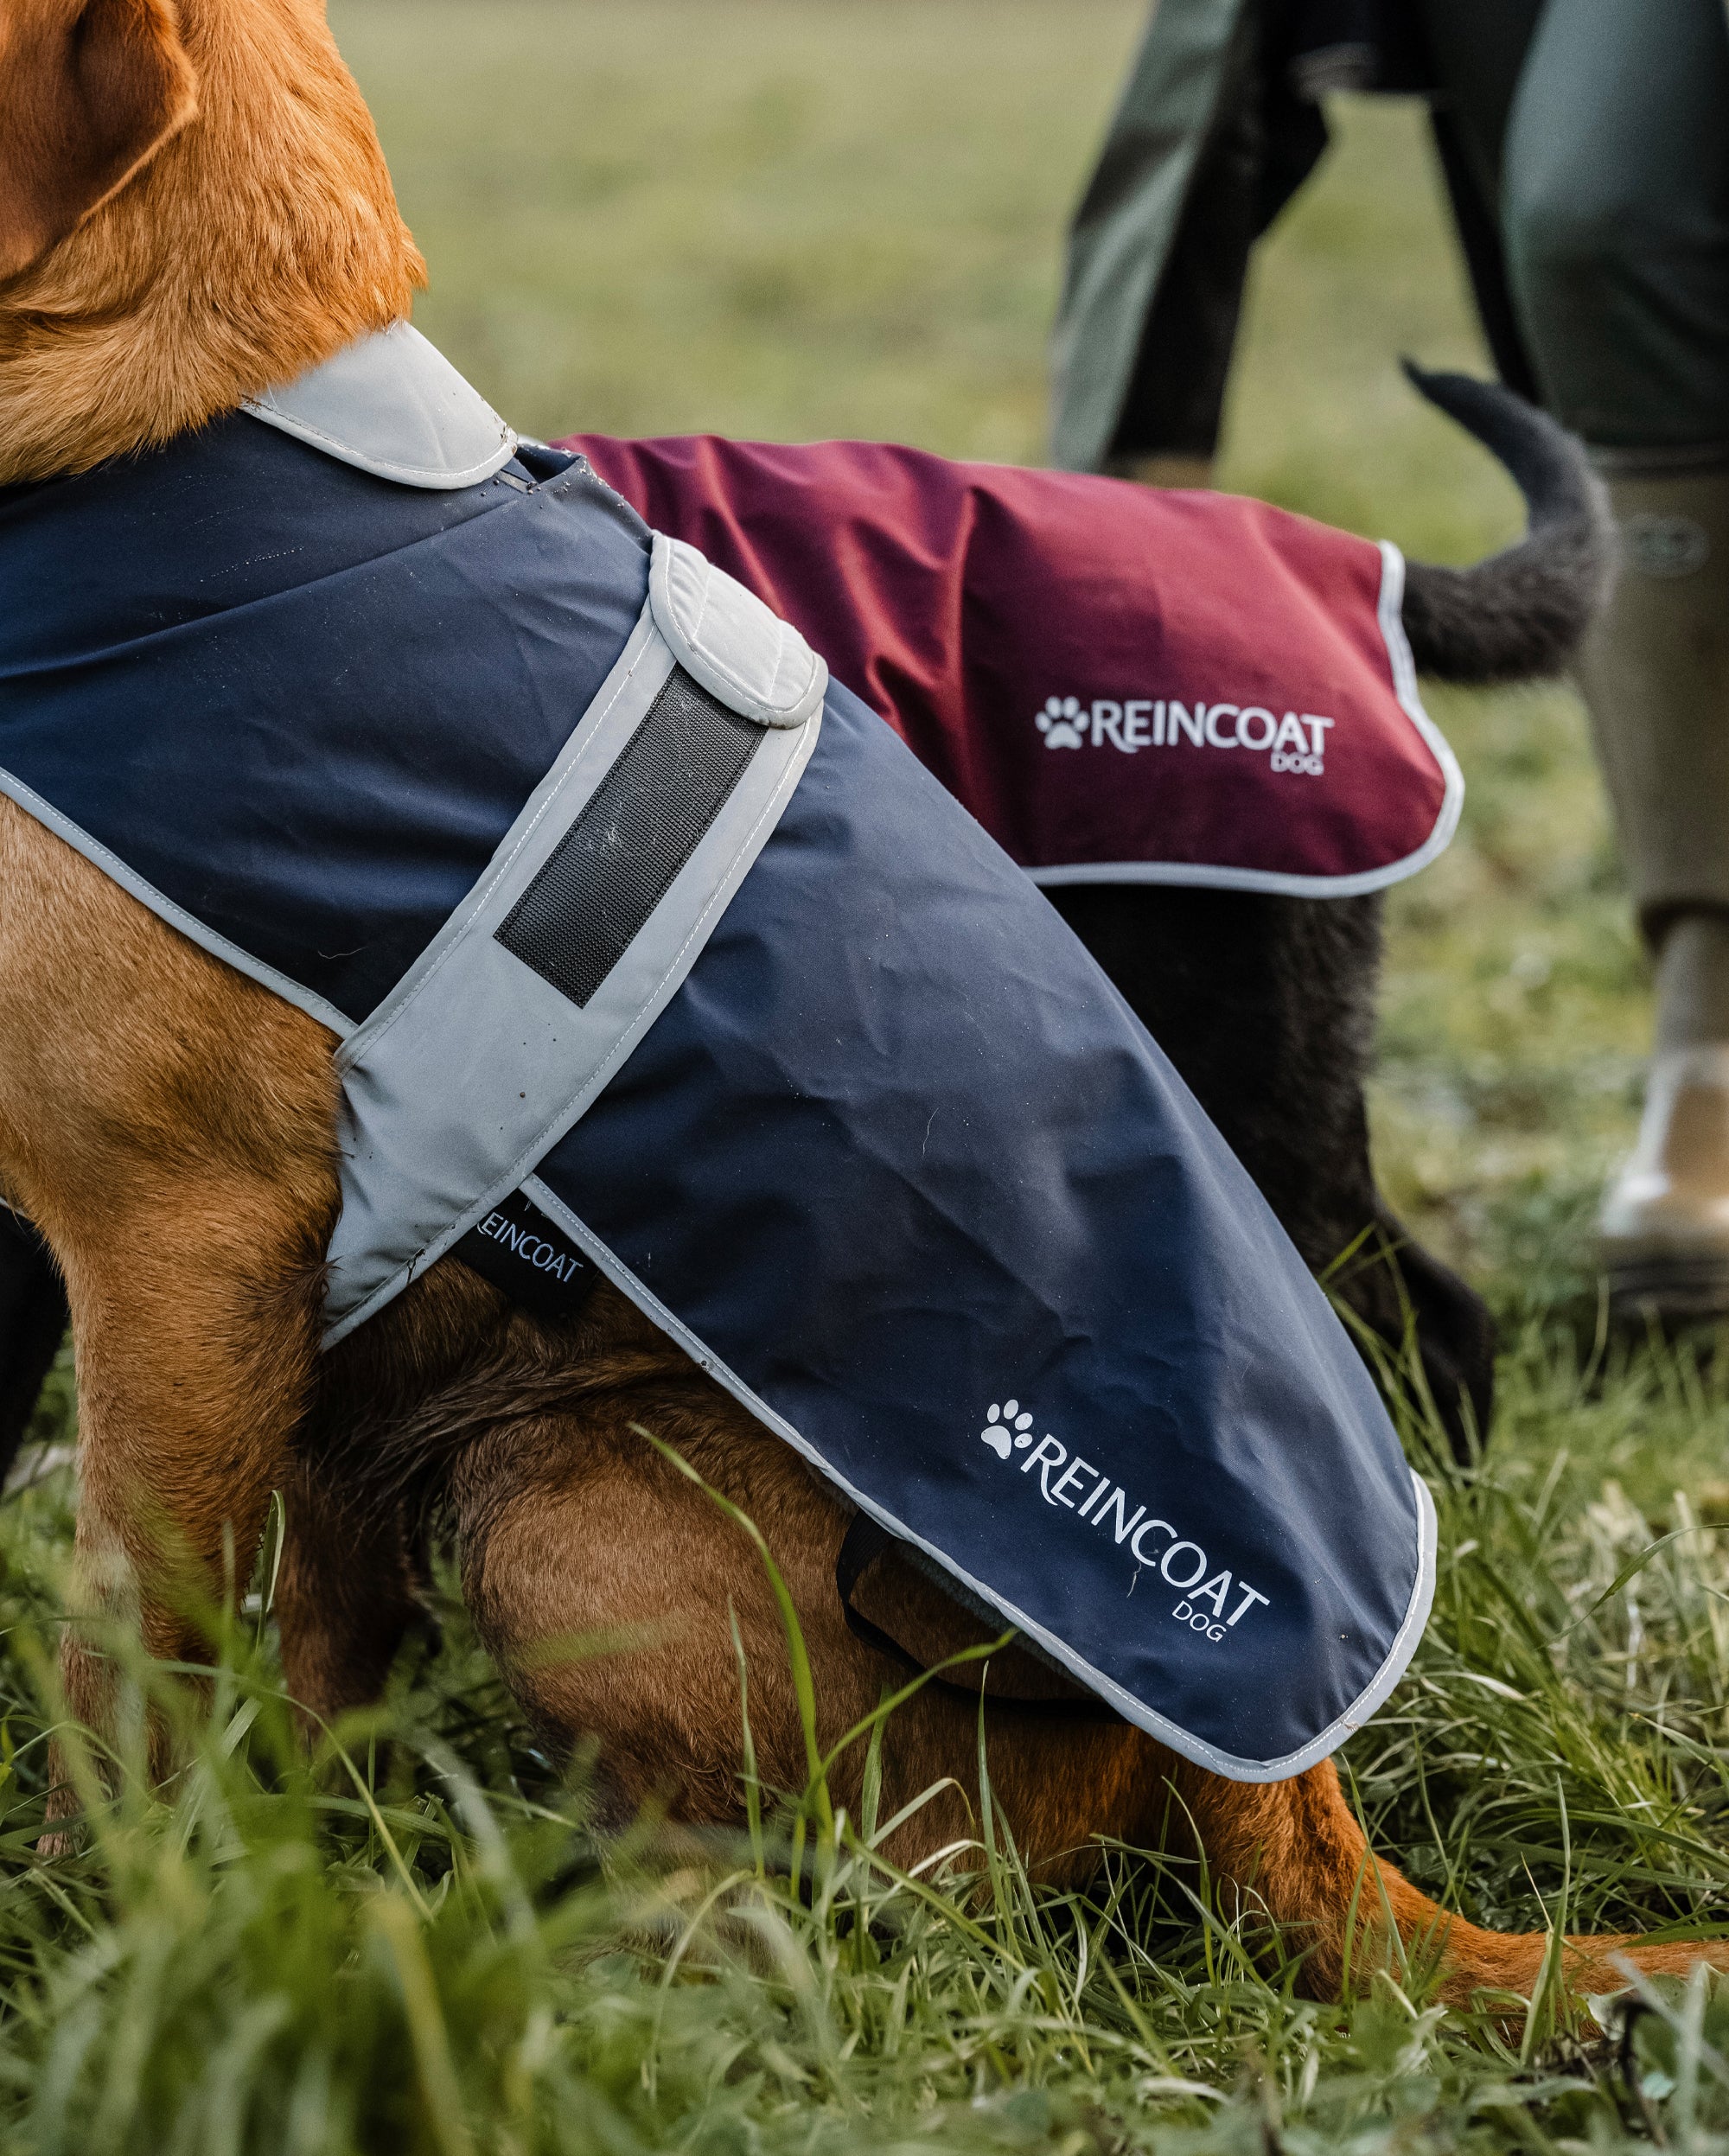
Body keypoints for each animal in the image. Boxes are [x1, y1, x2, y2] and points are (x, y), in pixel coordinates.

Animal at [0, 0, 1707, 2009]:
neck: (209, 440)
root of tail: (1286, 1792)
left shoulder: (177, 1254)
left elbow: (124, 1648)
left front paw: (92, 1931)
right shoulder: (300, 1319)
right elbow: (295, 1656)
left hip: (582, 1487)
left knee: (839, 1897)